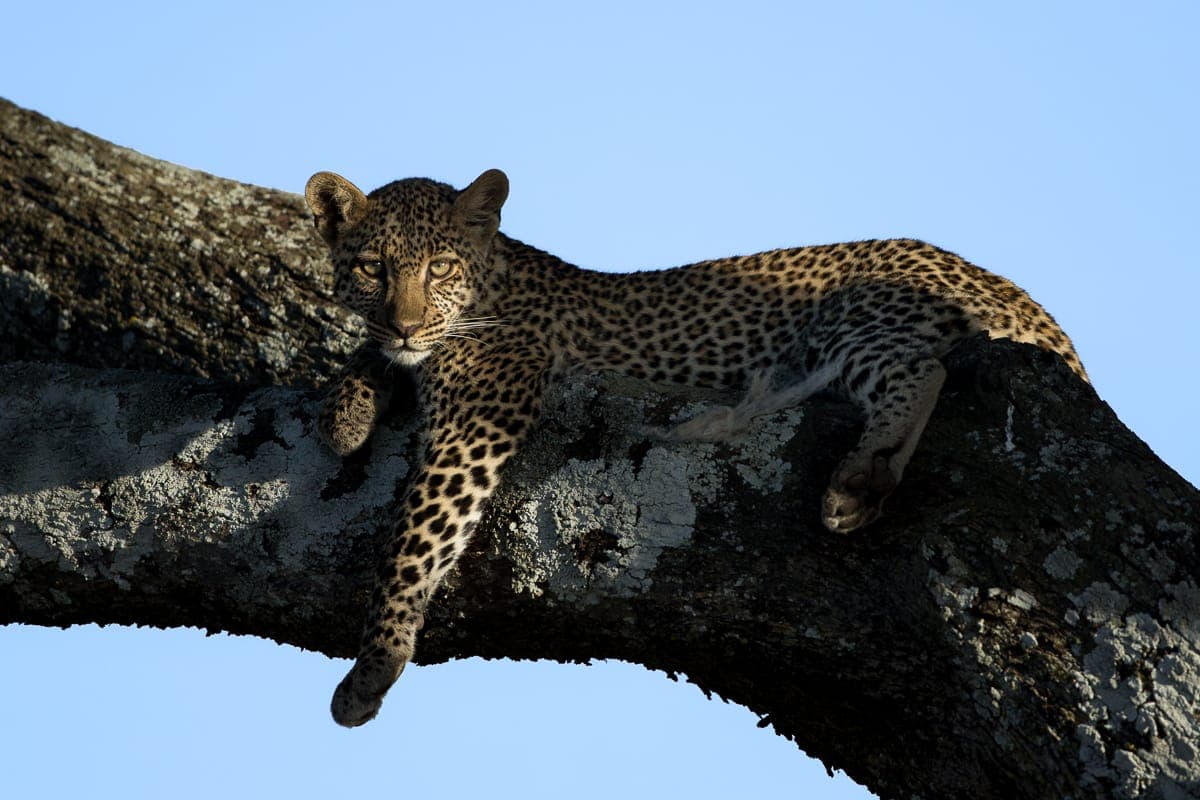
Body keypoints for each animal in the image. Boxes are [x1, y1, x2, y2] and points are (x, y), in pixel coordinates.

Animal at [303, 168, 1088, 727]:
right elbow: (369, 358)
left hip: (855, 314)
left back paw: (859, 480)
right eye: (372, 268)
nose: (406, 323)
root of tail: (1038, 314)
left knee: (918, 370)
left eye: (439, 267)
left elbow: (416, 534)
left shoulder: (478, 417)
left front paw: (373, 667)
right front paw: (346, 412)